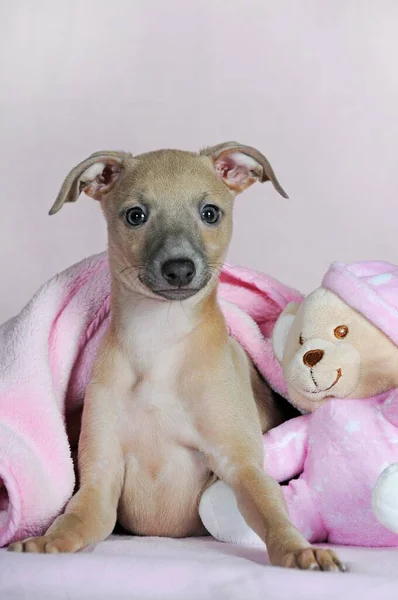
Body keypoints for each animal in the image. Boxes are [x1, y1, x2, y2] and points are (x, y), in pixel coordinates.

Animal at [8, 143, 346, 568]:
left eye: (210, 212)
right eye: (136, 215)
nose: (179, 269)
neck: (159, 342)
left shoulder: (240, 465)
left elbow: (269, 510)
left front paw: (299, 549)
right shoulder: (100, 478)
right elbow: (75, 518)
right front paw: (45, 541)